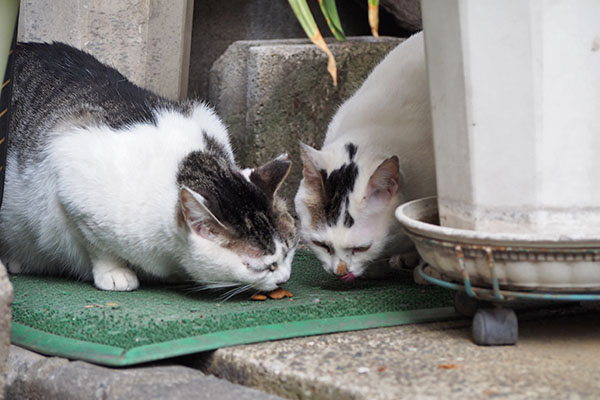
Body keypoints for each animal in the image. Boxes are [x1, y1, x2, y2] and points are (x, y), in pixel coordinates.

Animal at [1, 42, 296, 292]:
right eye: (261, 267)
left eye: (290, 250)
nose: (284, 278)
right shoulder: (71, 172)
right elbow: (98, 246)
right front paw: (115, 273)